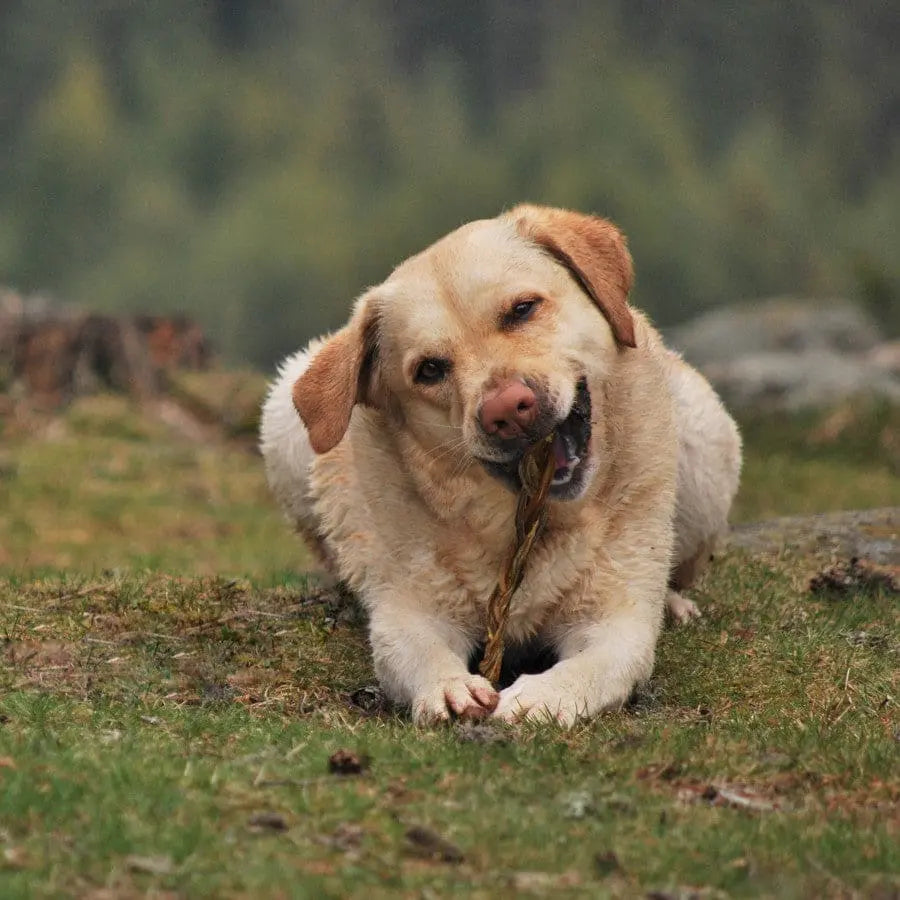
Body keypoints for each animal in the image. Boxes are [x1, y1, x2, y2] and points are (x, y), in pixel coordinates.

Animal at [258, 204, 740, 724]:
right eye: (429, 369)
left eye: (522, 309)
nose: (507, 410)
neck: (526, 523)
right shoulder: (412, 612)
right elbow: (419, 652)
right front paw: (449, 689)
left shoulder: (615, 621)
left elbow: (592, 667)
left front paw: (542, 698)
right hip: (283, 419)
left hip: (706, 442)